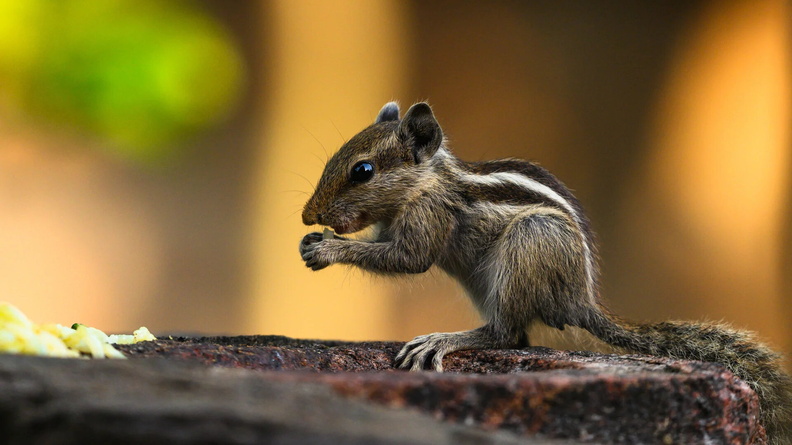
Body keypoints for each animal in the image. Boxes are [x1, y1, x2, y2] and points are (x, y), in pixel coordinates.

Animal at [299, 101, 792, 443]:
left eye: (363, 170)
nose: (307, 216)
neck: (427, 181)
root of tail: (581, 299)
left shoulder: (429, 215)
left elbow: (408, 259)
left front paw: (327, 247)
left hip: (528, 243)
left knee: (504, 334)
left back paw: (444, 339)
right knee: (517, 336)